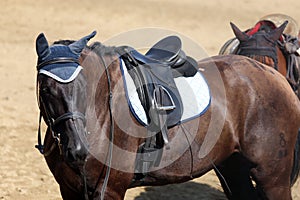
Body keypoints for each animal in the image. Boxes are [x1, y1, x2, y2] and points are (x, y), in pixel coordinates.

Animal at [35, 32, 300, 199]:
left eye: (84, 85)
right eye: (46, 89)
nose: (77, 149)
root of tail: (276, 77)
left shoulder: (109, 189)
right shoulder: (69, 190)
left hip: (272, 177)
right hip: (233, 169)